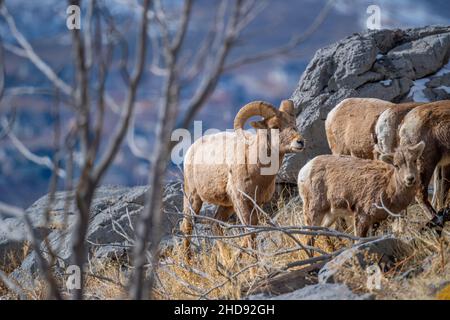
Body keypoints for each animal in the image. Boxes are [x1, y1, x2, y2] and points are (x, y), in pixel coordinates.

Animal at [181, 100, 304, 252]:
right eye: (275, 126)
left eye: (294, 124)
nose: (300, 142)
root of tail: (191, 150)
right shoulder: (241, 201)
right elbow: (249, 231)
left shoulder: (256, 203)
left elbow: (252, 231)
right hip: (193, 198)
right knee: (187, 227)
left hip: (227, 205)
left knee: (215, 225)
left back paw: (227, 258)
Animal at [298, 142, 426, 238]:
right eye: (396, 165)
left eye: (415, 160)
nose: (410, 178)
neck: (388, 191)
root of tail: (303, 171)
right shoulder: (362, 214)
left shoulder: (376, 220)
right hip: (313, 208)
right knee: (308, 236)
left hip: (330, 213)